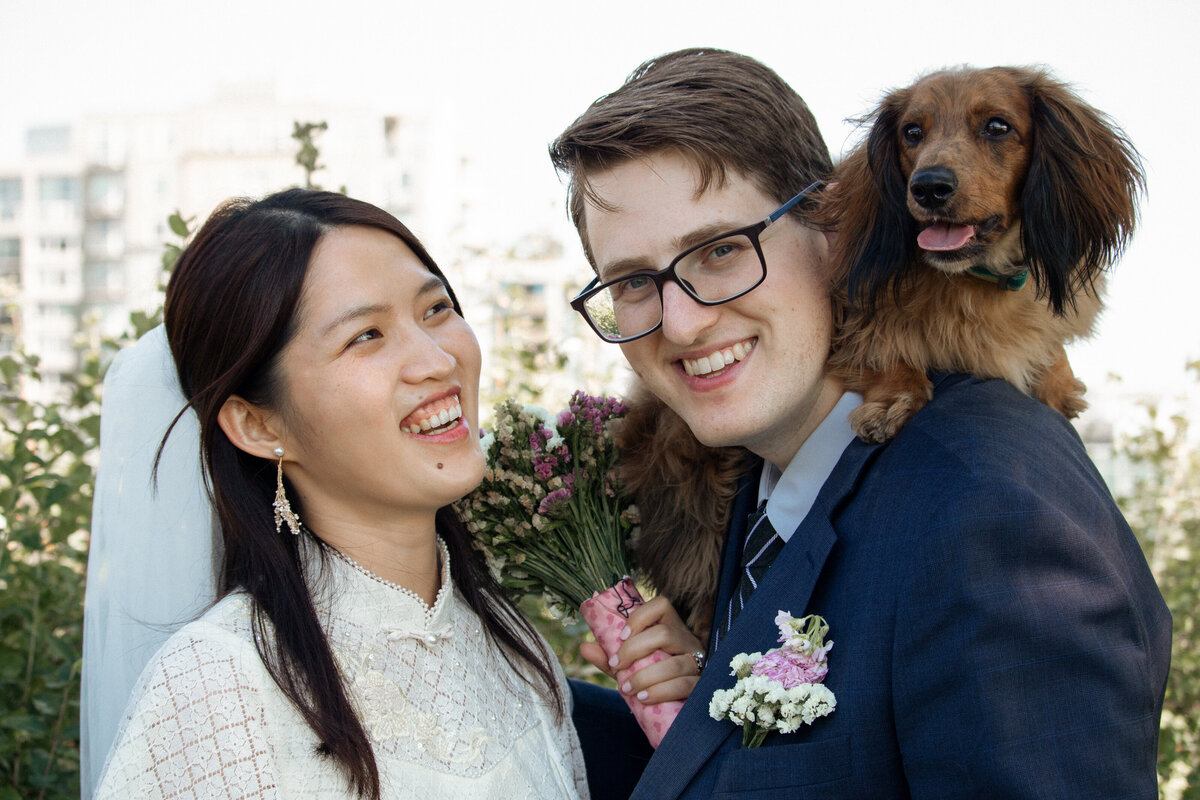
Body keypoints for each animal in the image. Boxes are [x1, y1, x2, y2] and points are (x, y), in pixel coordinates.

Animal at [825, 67, 1142, 443]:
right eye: (912, 132)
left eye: (997, 126)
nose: (928, 187)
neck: (981, 279)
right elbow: (880, 346)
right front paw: (894, 398)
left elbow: (1050, 343)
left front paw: (1058, 382)